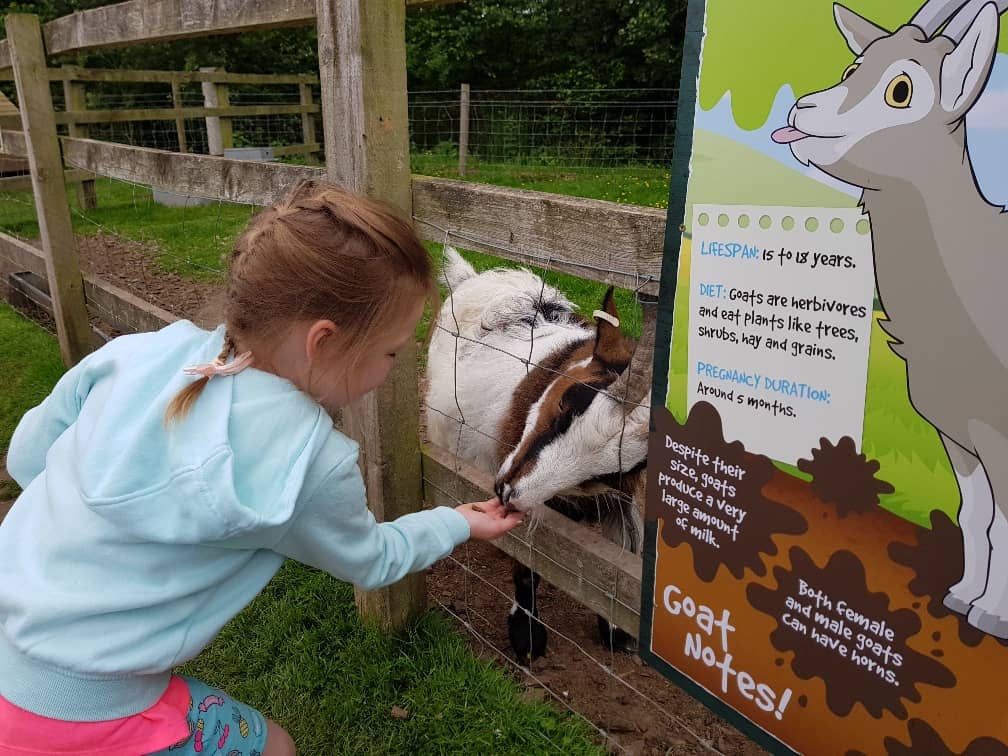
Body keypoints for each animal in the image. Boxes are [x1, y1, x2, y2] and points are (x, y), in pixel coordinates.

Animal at [421, 246, 649, 661]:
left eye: (610, 470)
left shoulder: (617, 496)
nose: (507, 491)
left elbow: (623, 550)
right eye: (568, 403)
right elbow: (528, 562)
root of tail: (474, 277)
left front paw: (615, 632)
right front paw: (526, 635)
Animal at [774, 0, 1008, 641]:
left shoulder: (999, 433)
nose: (801, 110)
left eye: (902, 89)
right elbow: (975, 515)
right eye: (854, 64)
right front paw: (961, 595)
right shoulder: (957, 430)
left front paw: (992, 614)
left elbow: (1002, 523)